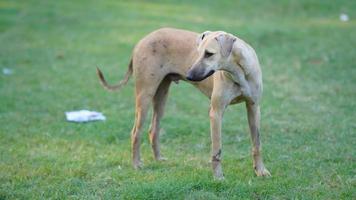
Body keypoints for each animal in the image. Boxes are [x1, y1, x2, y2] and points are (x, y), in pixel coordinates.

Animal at [96, 27, 272, 180]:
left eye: (209, 54)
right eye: (198, 52)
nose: (189, 75)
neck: (238, 73)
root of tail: (142, 40)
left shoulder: (254, 108)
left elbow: (257, 144)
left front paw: (260, 171)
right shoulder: (216, 113)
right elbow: (217, 151)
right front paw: (218, 177)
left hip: (161, 98)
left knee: (153, 130)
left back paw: (158, 159)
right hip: (145, 96)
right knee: (135, 132)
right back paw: (136, 164)